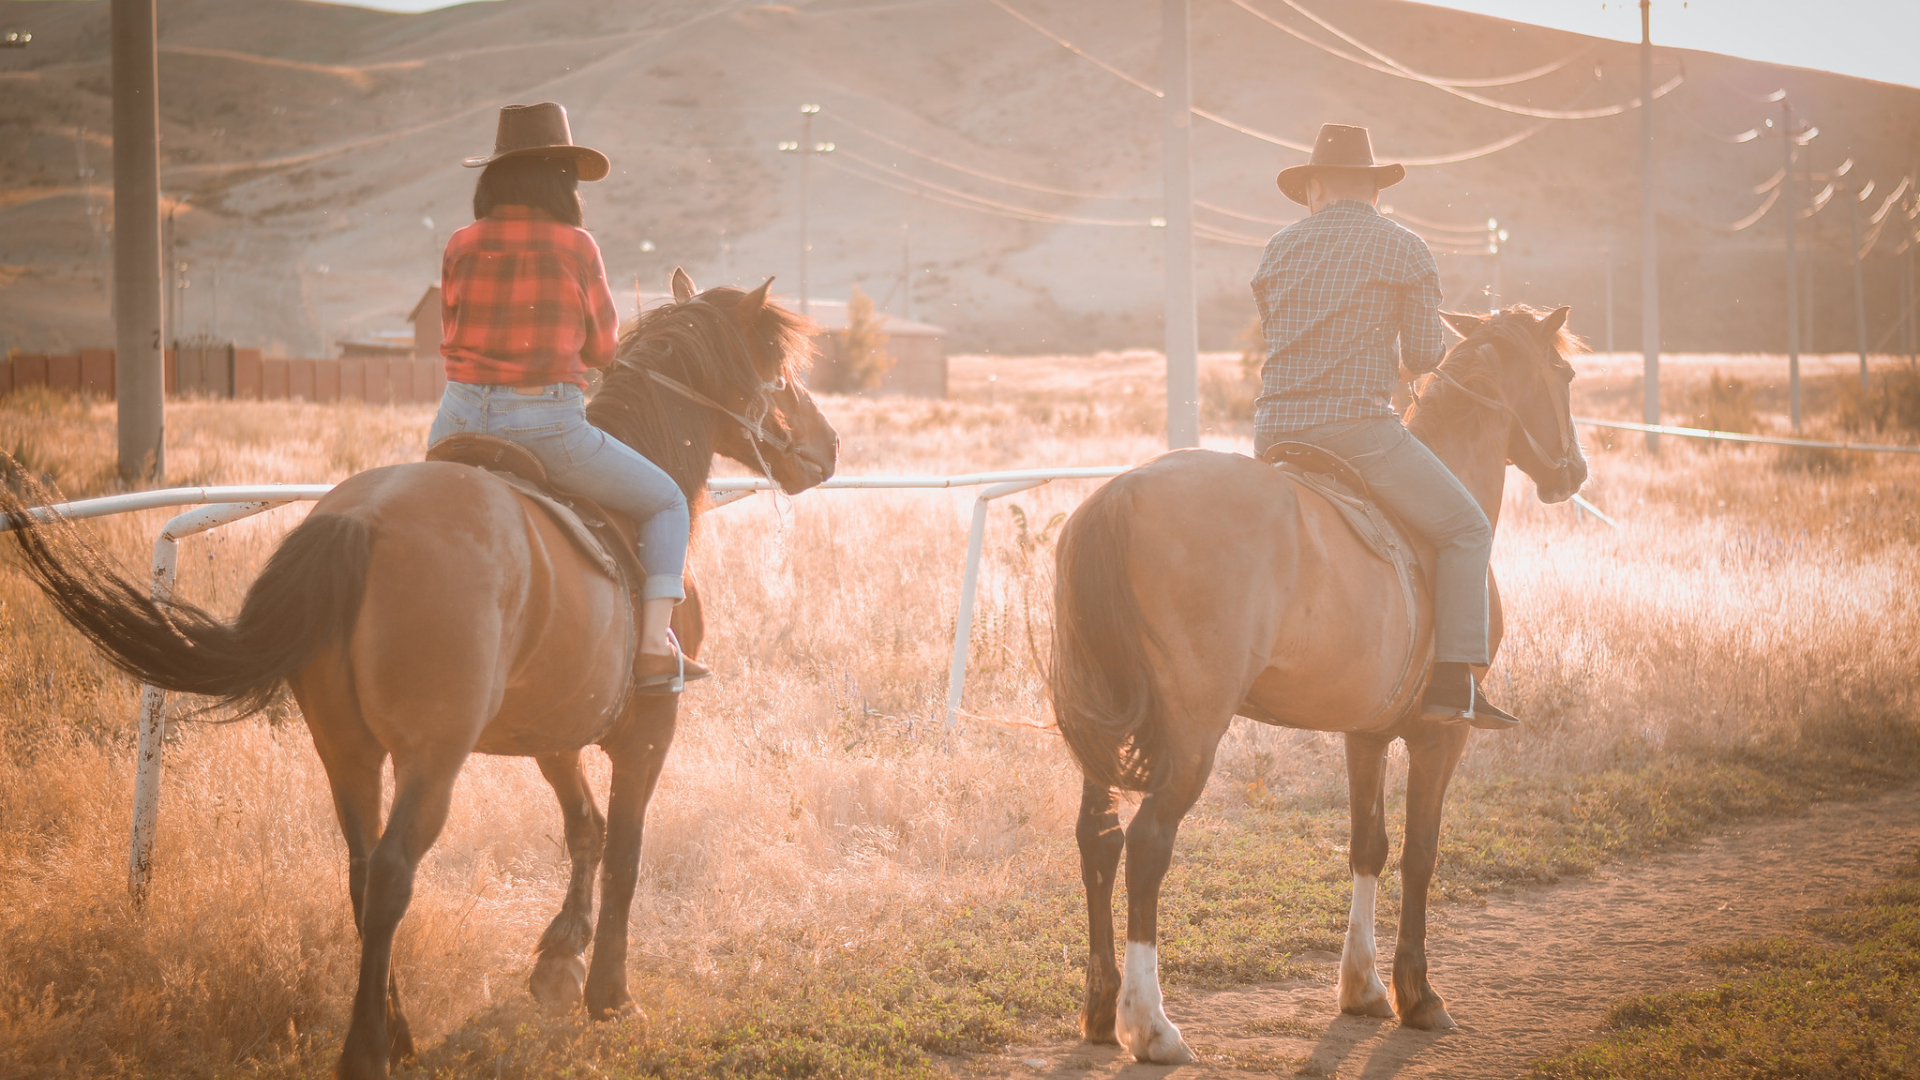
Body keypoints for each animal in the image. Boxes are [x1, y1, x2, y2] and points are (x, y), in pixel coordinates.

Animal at [3, 269, 837, 1076]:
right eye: (777, 369)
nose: (827, 445)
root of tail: (360, 520)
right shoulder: (648, 731)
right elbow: (626, 850)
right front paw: (609, 994)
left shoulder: (554, 730)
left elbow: (584, 828)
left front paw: (560, 955)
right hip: (431, 760)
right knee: (393, 872)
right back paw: (369, 1048)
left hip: (346, 751)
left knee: (362, 871)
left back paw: (397, 1028)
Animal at [1052, 305, 1589, 1060]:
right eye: (1563, 373)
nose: (1573, 471)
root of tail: (1123, 491)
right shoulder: (1440, 737)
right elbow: (1420, 853)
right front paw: (1419, 994)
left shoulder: (1365, 732)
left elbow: (1368, 846)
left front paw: (1362, 986)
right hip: (1192, 734)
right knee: (1149, 842)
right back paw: (1150, 1022)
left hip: (1102, 727)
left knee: (1098, 840)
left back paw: (1102, 1011)